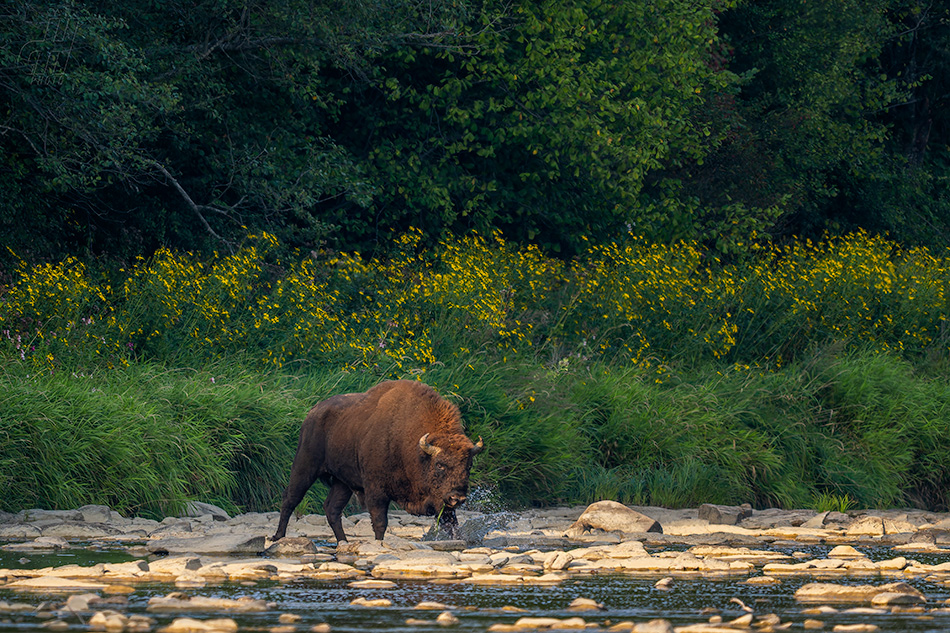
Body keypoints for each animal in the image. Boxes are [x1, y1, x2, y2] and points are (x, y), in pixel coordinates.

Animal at [272, 380, 483, 543]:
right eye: (439, 464)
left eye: (469, 465)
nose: (458, 498)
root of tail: (313, 412)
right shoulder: (376, 490)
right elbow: (380, 522)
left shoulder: (443, 504)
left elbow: (451, 524)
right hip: (305, 466)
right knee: (290, 498)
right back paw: (277, 536)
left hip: (342, 482)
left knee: (332, 508)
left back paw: (343, 541)